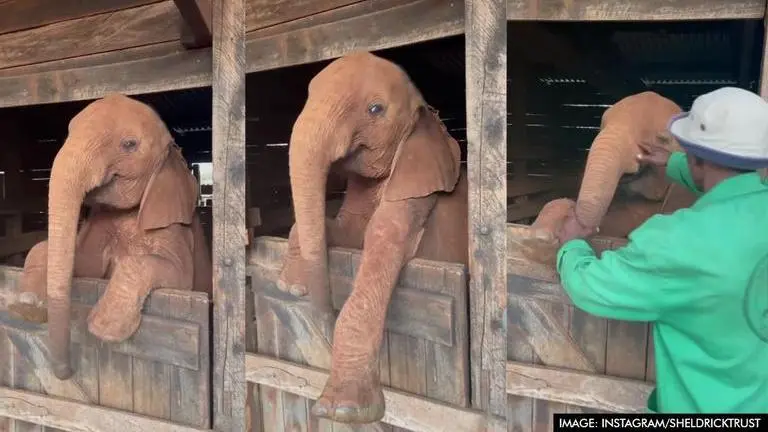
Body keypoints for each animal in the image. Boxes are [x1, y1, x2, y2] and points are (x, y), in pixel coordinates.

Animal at [7, 94, 212, 380]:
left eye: (130, 144)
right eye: (69, 130)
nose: (66, 372)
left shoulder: (175, 226)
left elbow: (178, 275)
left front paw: (104, 329)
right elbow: (86, 264)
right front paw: (26, 306)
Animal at [275, 51, 468, 423]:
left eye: (375, 109)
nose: (323, 313)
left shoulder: (416, 195)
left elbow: (380, 238)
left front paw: (342, 410)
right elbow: (347, 229)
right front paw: (290, 285)